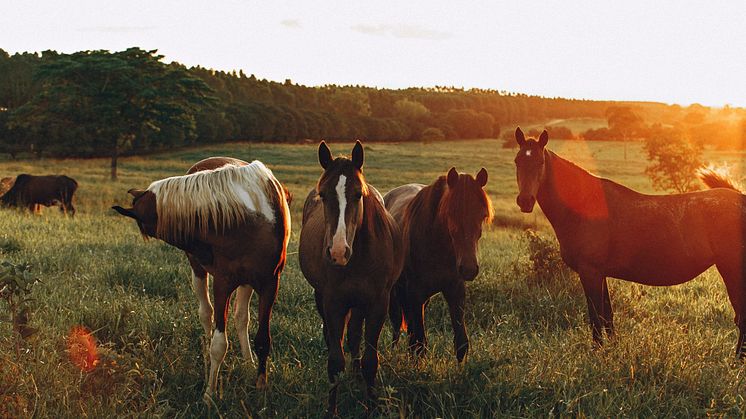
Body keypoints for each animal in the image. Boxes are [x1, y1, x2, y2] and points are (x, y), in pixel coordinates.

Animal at [110, 156, 290, 398]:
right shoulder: (223, 283)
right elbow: (219, 343)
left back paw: (247, 361)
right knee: (207, 314)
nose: (198, 249)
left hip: (247, 283)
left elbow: (263, 339)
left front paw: (260, 386)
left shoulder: (270, 283)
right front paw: (210, 393)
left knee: (241, 318)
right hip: (200, 272)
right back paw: (206, 358)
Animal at [298, 141, 404, 416]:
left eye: (358, 194)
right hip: (324, 298)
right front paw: (331, 410)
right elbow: (335, 361)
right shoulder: (333, 303)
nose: (337, 252)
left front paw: (371, 405)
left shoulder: (377, 304)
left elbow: (370, 360)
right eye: (323, 194)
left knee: (355, 336)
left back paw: (357, 377)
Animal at [384, 167, 494, 360]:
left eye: (483, 215)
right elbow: (419, 343)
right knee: (397, 323)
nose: (469, 269)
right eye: (450, 213)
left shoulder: (455, 291)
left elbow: (461, 343)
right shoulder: (415, 292)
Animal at [516, 125, 744, 358]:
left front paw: (597, 351)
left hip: (731, 270)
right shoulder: (600, 273)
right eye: (517, 161)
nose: (524, 201)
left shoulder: (590, 272)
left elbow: (596, 316)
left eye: (540, 162)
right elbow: (607, 316)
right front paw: (613, 349)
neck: (584, 206)